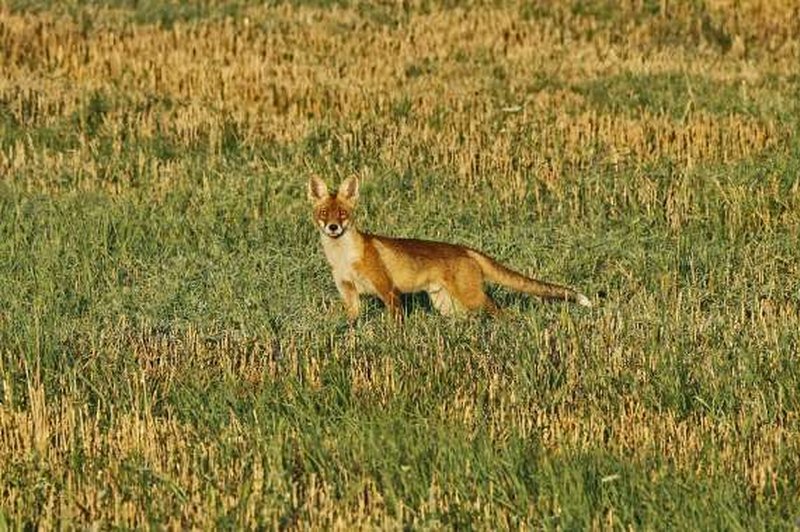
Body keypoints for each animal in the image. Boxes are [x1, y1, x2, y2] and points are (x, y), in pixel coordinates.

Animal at [308, 177, 592, 322]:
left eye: (342, 214)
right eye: (324, 214)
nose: (333, 227)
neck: (344, 257)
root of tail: (465, 249)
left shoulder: (388, 290)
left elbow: (396, 323)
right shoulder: (349, 295)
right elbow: (352, 320)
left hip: (473, 298)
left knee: (502, 312)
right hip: (448, 306)